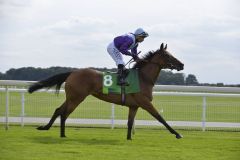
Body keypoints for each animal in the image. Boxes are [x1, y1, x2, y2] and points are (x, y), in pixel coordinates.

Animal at [29, 43, 185, 139]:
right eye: (168, 55)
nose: (182, 65)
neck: (143, 78)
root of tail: (73, 72)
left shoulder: (134, 106)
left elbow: (130, 123)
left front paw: (129, 139)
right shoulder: (145, 103)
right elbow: (160, 117)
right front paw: (177, 134)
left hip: (72, 97)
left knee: (58, 110)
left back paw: (46, 128)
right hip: (77, 98)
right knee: (64, 113)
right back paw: (62, 134)